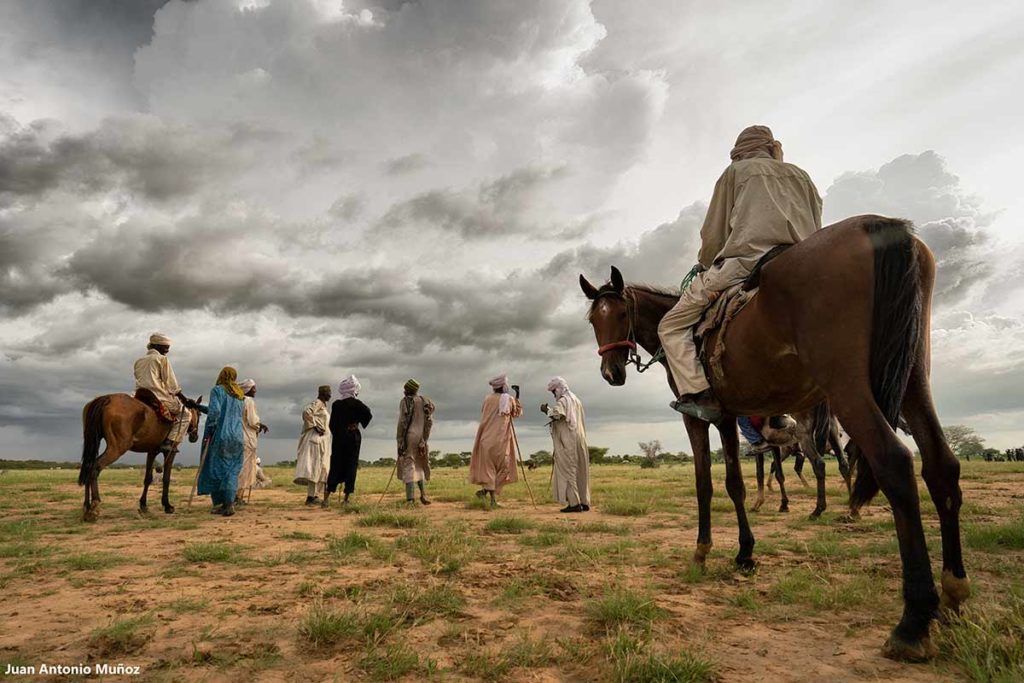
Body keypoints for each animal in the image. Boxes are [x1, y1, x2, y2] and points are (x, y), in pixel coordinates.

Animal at [585, 216, 966, 659]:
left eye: (619, 313)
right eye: (593, 321)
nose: (611, 372)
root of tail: (876, 224)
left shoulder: (699, 418)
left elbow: (705, 484)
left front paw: (702, 551)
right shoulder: (727, 418)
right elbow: (735, 484)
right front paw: (745, 553)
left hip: (847, 388)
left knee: (893, 464)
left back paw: (913, 622)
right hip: (912, 378)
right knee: (940, 465)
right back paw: (953, 593)